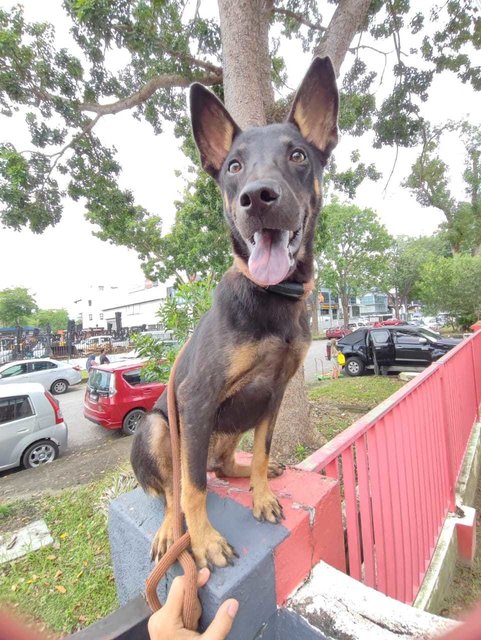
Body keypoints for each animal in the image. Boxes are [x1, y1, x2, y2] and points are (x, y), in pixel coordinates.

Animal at [130, 57, 338, 568]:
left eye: (298, 155)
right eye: (234, 166)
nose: (257, 197)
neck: (271, 294)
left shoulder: (274, 393)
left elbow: (261, 451)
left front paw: (261, 493)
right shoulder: (196, 398)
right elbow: (192, 488)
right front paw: (204, 540)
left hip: (226, 428)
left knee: (221, 466)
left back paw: (242, 472)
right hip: (158, 427)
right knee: (173, 487)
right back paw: (171, 531)